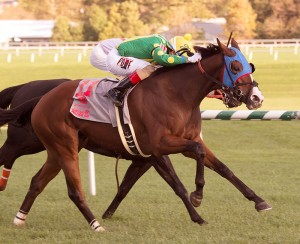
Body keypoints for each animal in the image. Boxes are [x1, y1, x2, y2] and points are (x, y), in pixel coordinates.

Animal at [0, 39, 270, 232]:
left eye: (250, 65)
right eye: (235, 66)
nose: (257, 98)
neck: (177, 94)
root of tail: (41, 98)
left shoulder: (165, 148)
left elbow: (223, 168)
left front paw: (259, 201)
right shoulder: (158, 147)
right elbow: (182, 179)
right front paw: (197, 203)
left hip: (58, 149)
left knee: (37, 181)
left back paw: (20, 218)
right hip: (51, 145)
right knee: (68, 187)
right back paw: (96, 225)